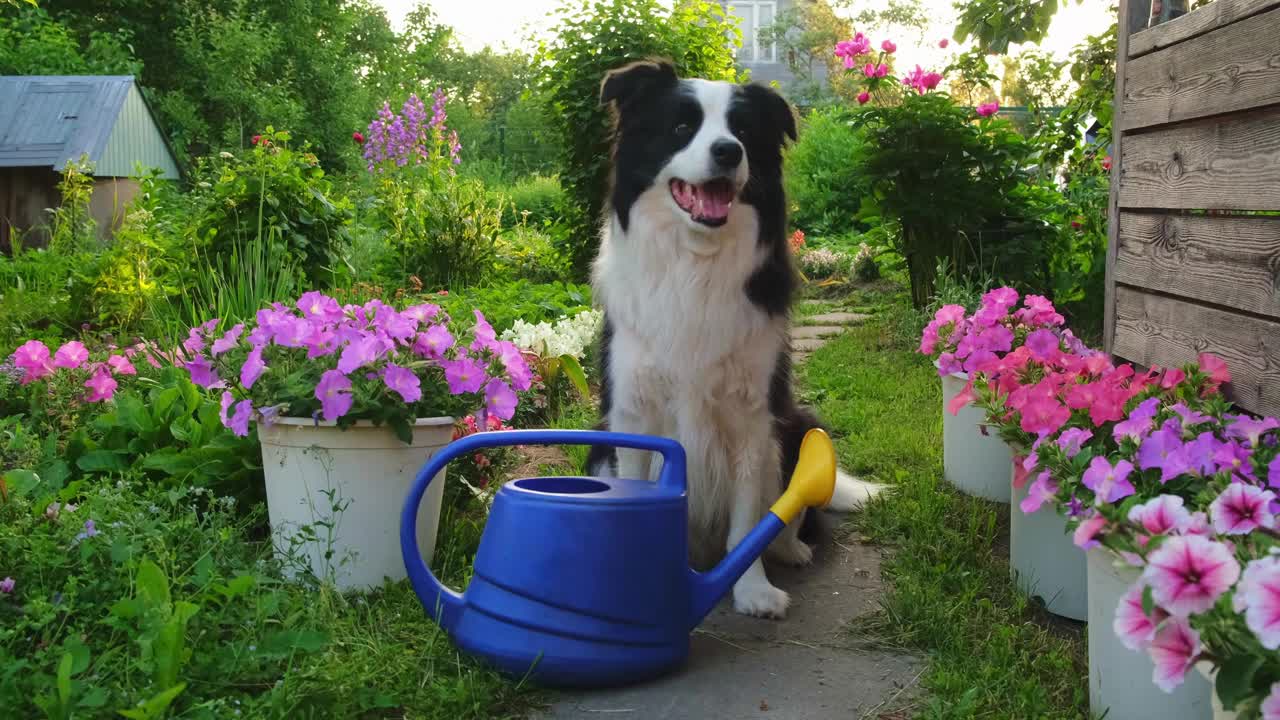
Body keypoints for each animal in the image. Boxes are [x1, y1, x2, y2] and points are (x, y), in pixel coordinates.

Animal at [586, 60, 880, 617]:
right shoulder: (632, 412)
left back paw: (791, 549)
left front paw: (753, 591)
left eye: (743, 132)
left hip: (797, 426)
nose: (728, 152)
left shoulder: (751, 418)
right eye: (682, 126)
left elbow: (749, 522)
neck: (694, 262)